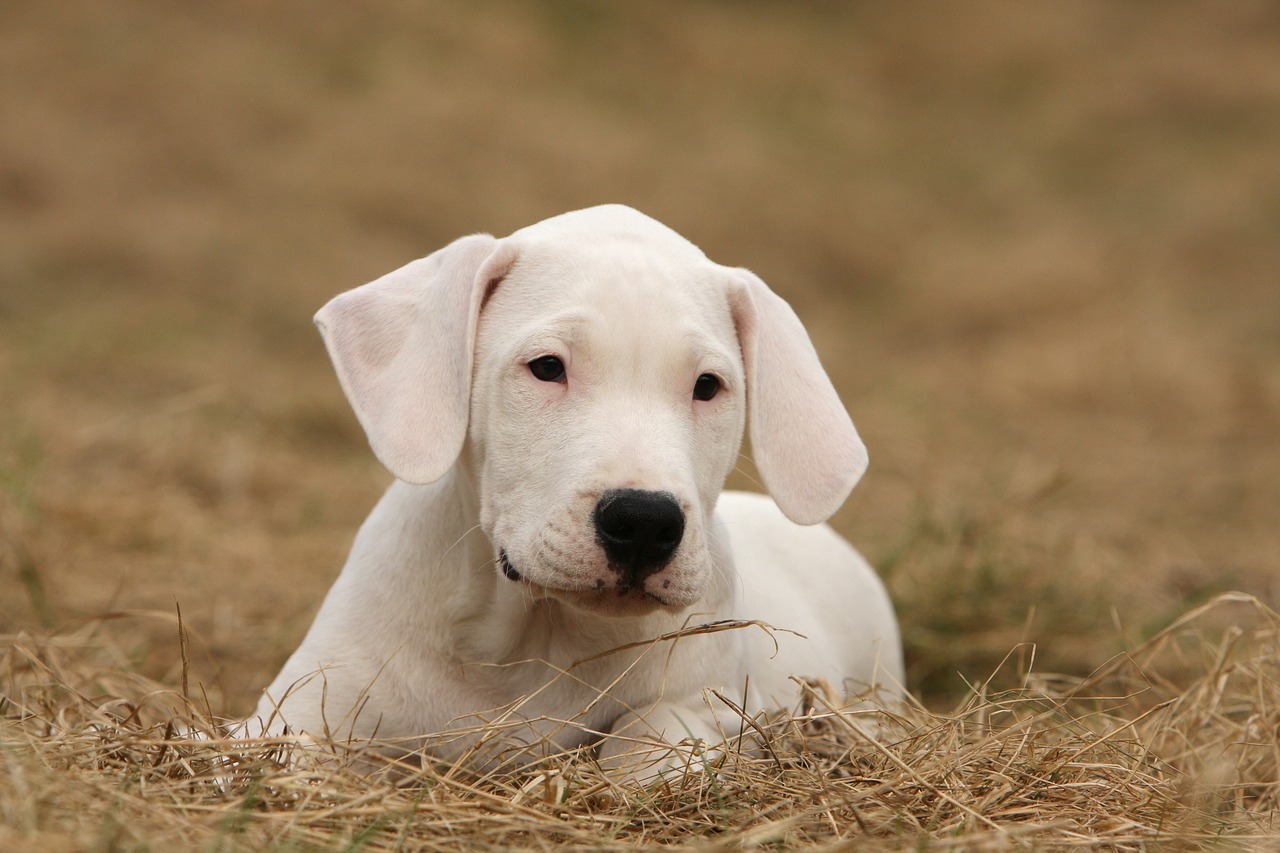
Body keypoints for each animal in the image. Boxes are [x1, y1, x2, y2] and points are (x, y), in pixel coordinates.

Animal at [247, 204, 901, 778]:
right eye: (546, 367)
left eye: (708, 386)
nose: (645, 523)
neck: (536, 640)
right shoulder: (298, 709)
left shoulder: (711, 707)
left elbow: (649, 731)